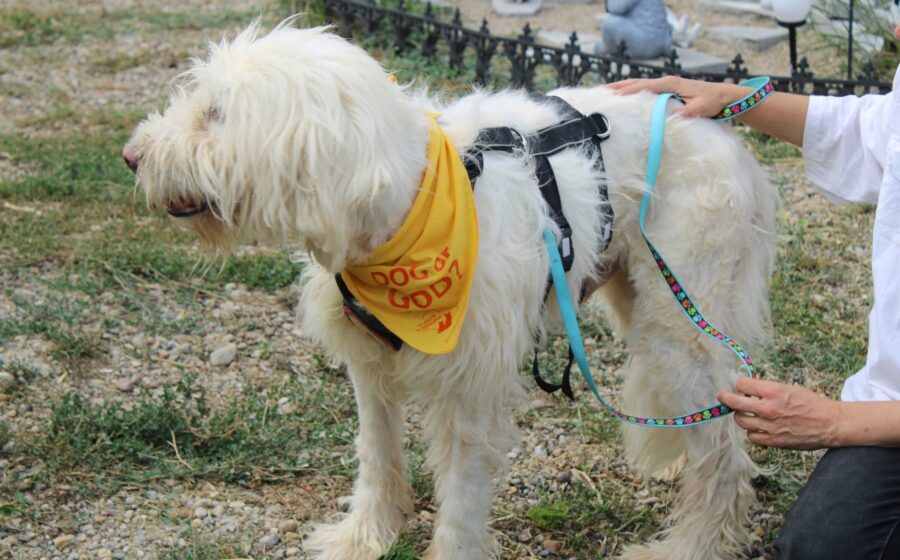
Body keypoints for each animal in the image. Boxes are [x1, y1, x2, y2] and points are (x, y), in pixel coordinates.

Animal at [123, 19, 777, 560]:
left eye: (216, 113)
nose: (132, 156)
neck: (408, 207)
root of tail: (717, 129)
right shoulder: (369, 366)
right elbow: (377, 453)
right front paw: (367, 535)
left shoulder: (467, 387)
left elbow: (460, 494)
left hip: (678, 317)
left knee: (724, 446)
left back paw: (691, 544)